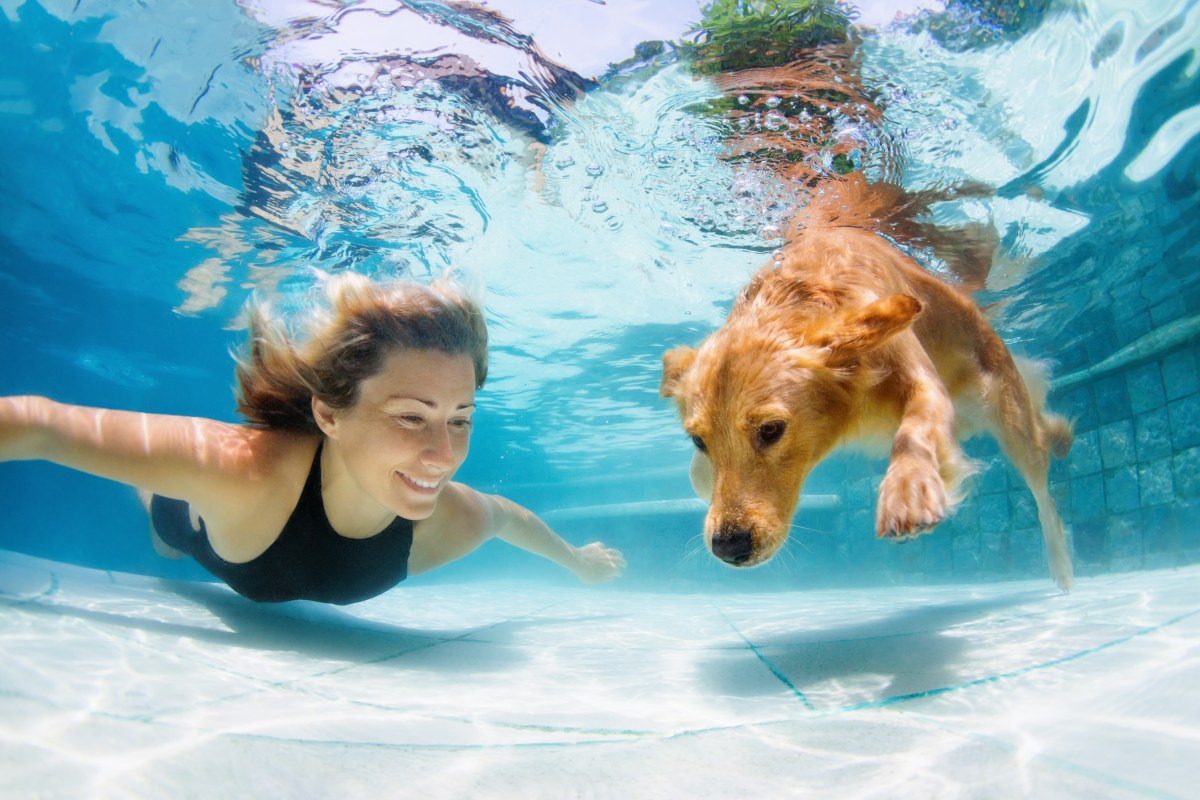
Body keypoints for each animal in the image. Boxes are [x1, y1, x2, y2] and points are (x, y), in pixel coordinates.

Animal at [662, 51, 1075, 587]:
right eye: (699, 438)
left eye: (771, 431)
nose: (728, 547)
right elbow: (697, 473)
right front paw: (700, 477)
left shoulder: (914, 371)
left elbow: (915, 426)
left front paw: (908, 490)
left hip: (1005, 409)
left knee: (1040, 478)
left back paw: (1061, 561)